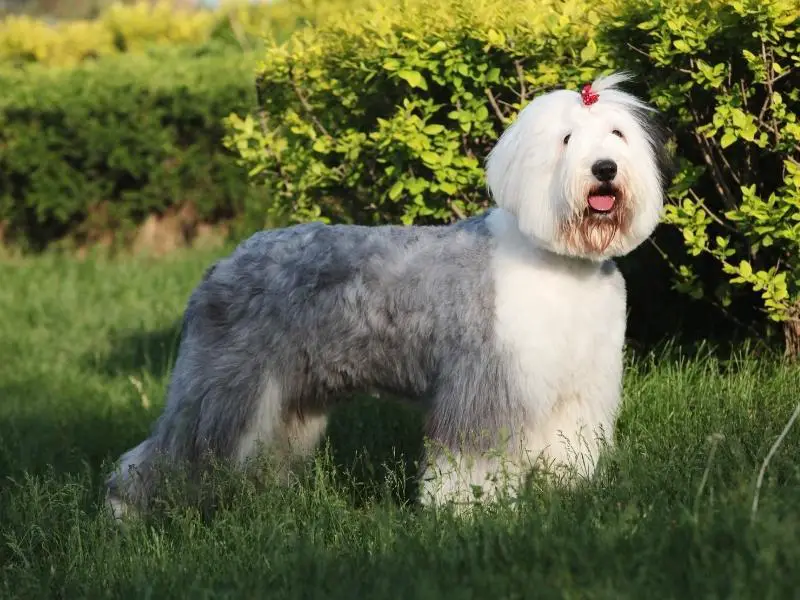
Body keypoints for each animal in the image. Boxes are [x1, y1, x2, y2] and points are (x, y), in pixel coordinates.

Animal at [106, 70, 668, 516]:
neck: (558, 258)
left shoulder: (579, 385)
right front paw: (466, 512)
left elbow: (570, 446)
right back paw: (124, 515)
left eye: (617, 134)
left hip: (287, 397)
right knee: (160, 455)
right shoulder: (485, 381)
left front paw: (567, 495)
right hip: (225, 386)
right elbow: (471, 457)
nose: (604, 169)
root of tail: (222, 264)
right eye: (568, 139)